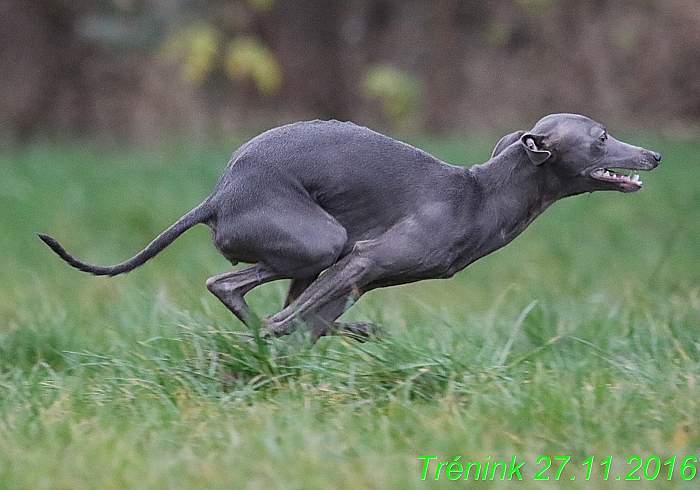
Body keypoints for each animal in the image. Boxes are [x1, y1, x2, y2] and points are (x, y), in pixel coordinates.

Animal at [39, 113, 660, 338]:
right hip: (322, 242)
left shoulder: (354, 277)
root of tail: (218, 195)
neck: (480, 195)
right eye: (602, 137)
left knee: (250, 294)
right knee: (230, 287)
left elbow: (313, 319)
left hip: (311, 257)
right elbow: (291, 321)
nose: (654, 154)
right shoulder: (364, 259)